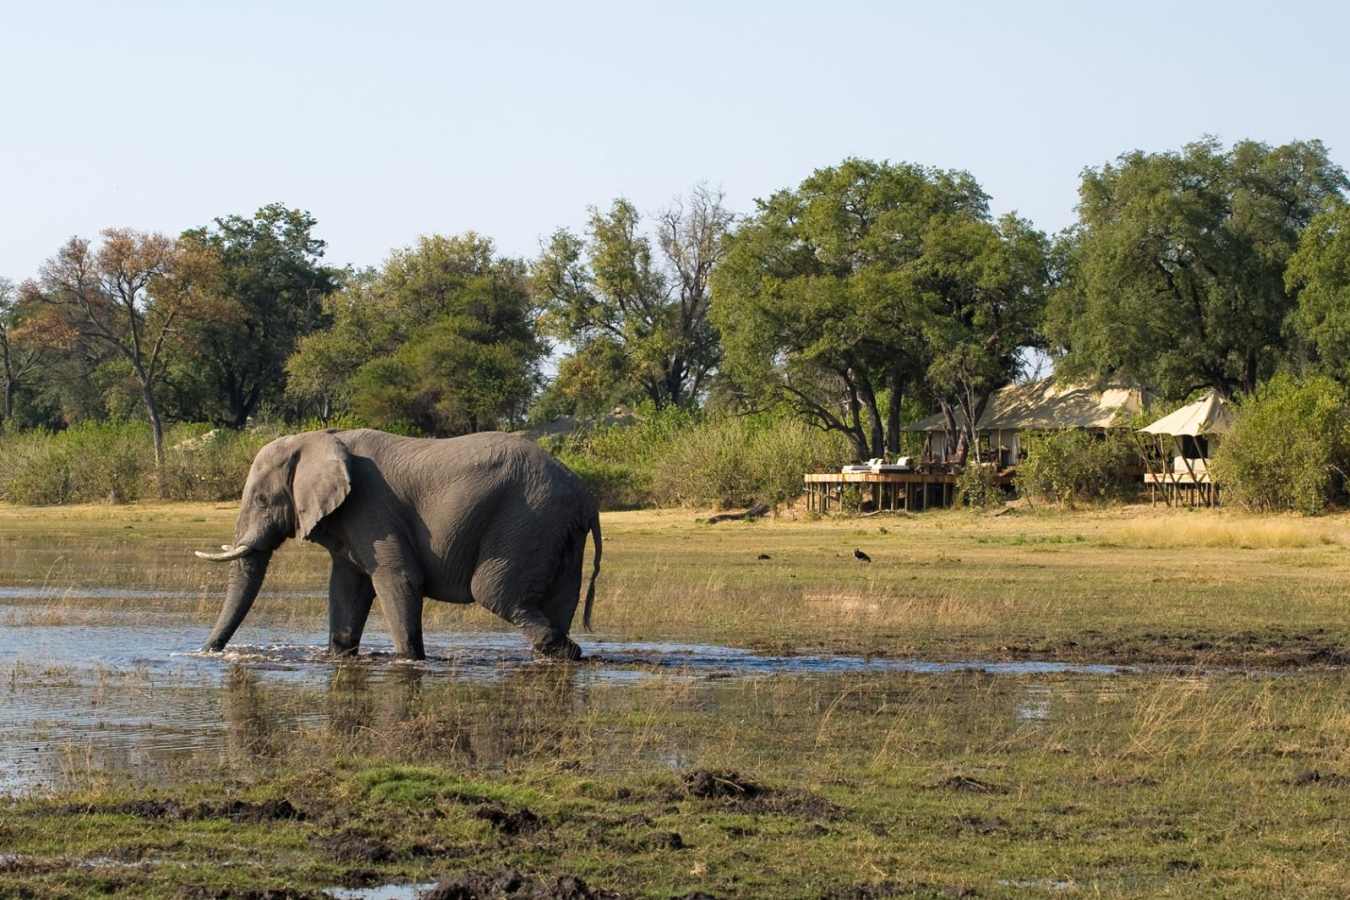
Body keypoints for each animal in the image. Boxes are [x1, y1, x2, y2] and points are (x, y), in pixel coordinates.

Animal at [194, 429, 601, 661]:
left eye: (263, 500)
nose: (207, 652)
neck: (314, 438)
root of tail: (583, 493)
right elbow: (346, 588)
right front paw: (338, 656)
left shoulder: (372, 507)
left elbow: (398, 578)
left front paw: (408, 660)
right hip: (557, 529)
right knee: (558, 601)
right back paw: (560, 654)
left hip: (527, 518)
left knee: (493, 593)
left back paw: (561, 650)